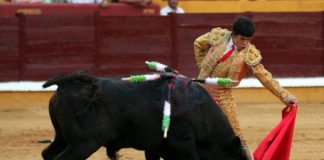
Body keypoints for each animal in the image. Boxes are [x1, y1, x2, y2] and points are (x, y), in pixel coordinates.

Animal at [41, 72, 247, 160]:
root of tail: (67, 82)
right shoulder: (184, 144)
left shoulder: (154, 147)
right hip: (84, 143)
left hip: (63, 138)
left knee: (47, 154)